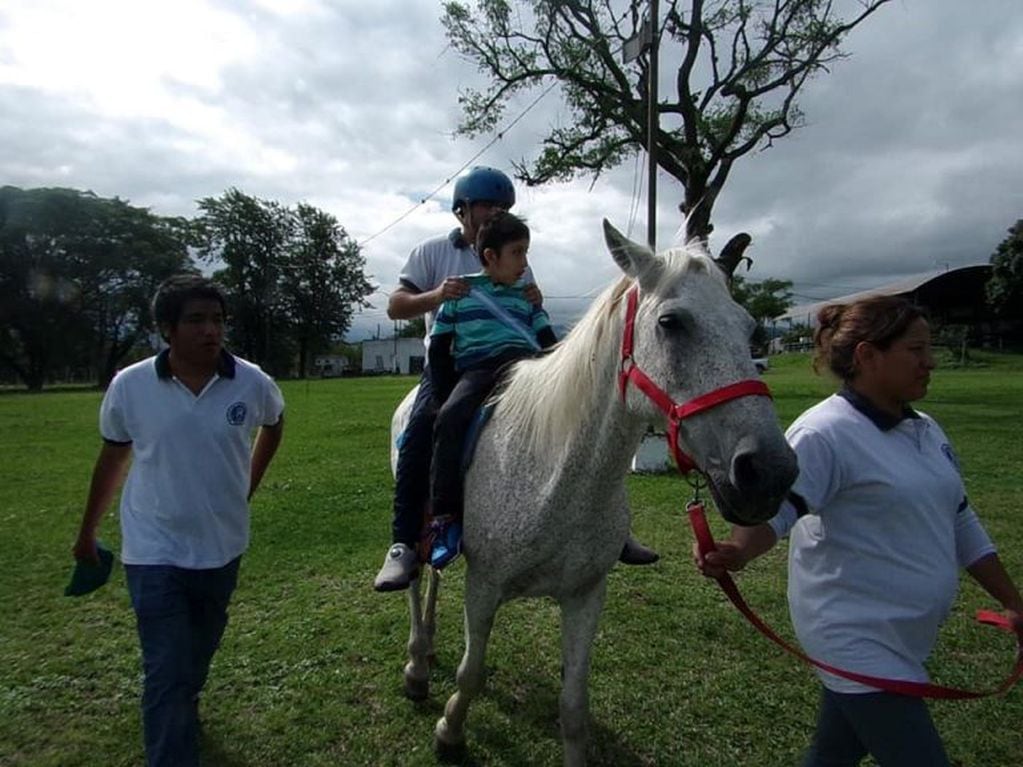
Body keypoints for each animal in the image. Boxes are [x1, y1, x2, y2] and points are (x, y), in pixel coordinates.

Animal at [386, 218, 793, 764]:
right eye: (671, 323)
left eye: (750, 329)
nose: (769, 471)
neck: (556, 475)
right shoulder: (484, 586)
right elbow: (470, 672)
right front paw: (450, 732)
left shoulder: (585, 595)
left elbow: (574, 704)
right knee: (415, 577)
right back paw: (416, 662)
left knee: (433, 573)